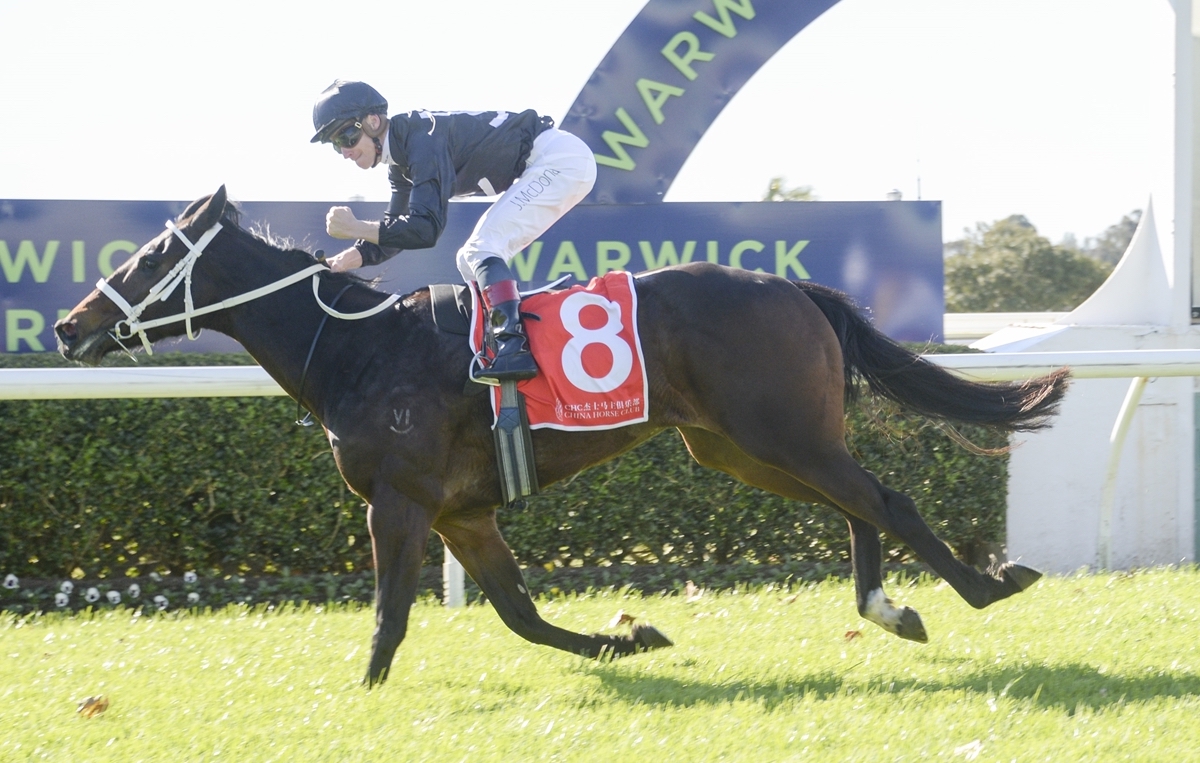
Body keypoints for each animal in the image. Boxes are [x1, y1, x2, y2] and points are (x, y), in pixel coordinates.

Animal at [56, 189, 1070, 686]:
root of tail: (793, 286)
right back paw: (888, 606)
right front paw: (637, 639)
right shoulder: (461, 514)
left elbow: (392, 614)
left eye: (146, 260)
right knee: (858, 504)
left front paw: (362, 693)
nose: (68, 327)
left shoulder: (401, 500)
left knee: (883, 497)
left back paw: (986, 585)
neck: (356, 346)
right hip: (741, 447)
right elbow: (520, 612)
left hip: (780, 433)